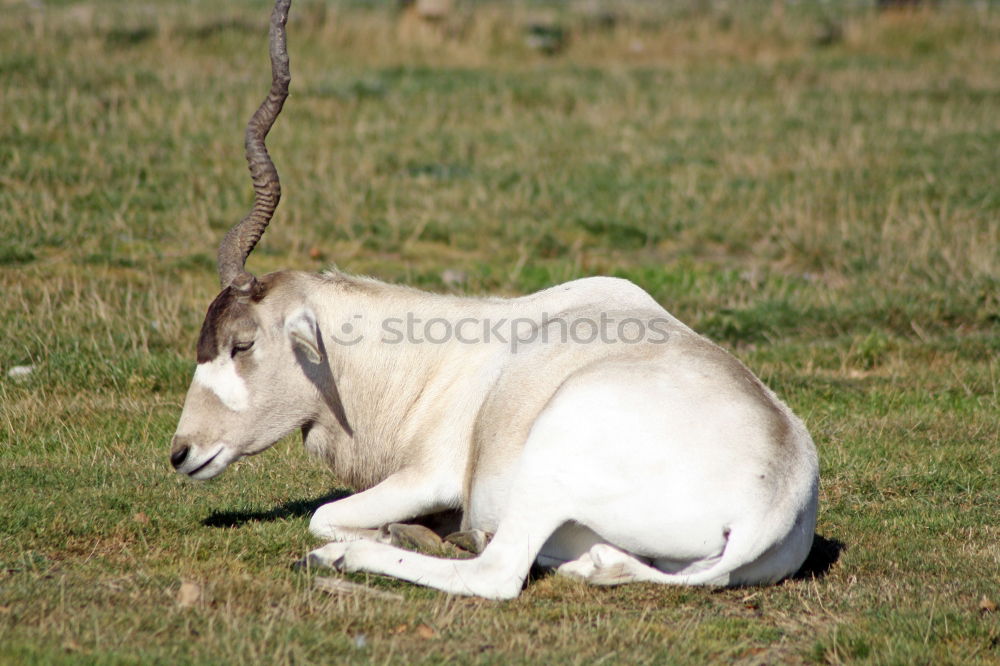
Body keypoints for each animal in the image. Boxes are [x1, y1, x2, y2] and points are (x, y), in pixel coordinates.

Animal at [168, 0, 816, 600]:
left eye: (242, 343)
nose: (181, 452)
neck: (428, 359)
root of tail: (774, 503)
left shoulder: (432, 476)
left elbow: (323, 516)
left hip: (546, 468)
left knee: (497, 572)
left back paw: (350, 558)